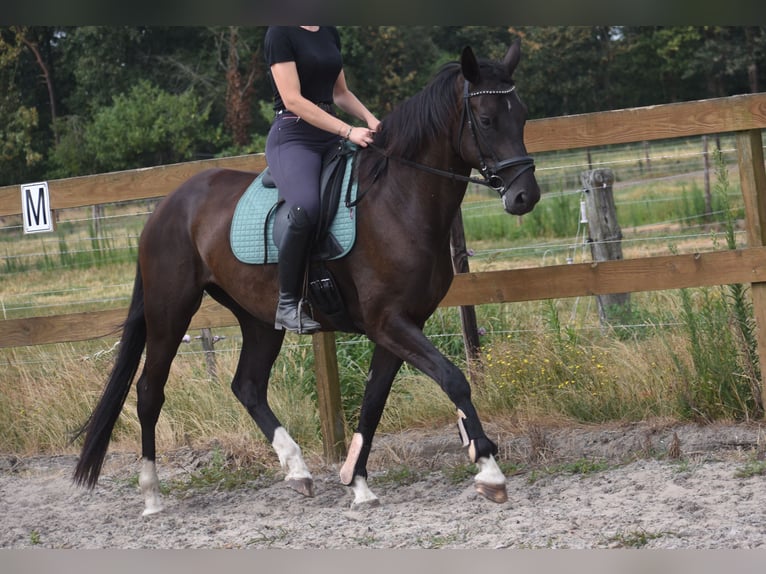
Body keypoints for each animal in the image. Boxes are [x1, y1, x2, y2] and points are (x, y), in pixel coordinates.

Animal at [73, 39, 541, 515]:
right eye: (486, 119)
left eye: (522, 115)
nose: (525, 197)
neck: (398, 200)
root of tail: (165, 208)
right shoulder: (388, 322)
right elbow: (453, 379)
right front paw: (489, 470)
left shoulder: (402, 324)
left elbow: (374, 400)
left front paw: (357, 482)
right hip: (170, 311)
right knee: (150, 391)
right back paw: (151, 494)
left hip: (258, 318)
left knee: (247, 386)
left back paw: (296, 468)